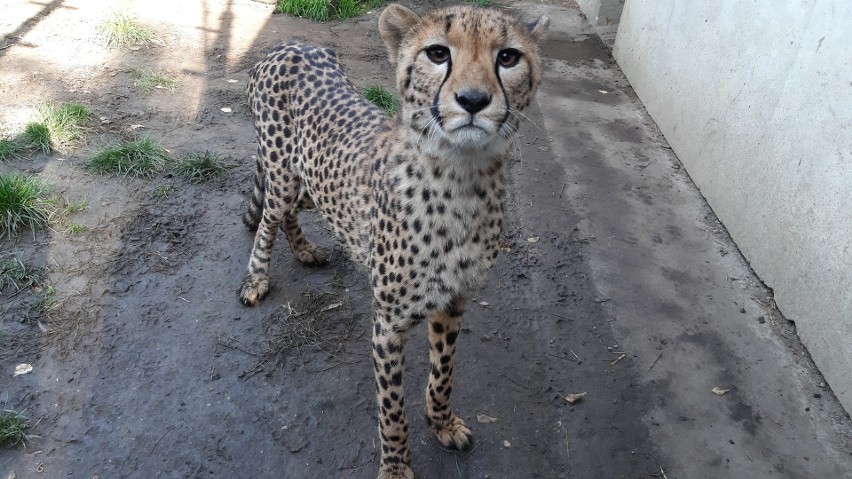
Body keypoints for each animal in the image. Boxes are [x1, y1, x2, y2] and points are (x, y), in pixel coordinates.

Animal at [236, 4, 548, 479]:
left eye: (508, 57)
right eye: (438, 53)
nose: (473, 100)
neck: (461, 178)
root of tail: (291, 45)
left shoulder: (454, 301)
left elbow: (443, 373)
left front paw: (442, 423)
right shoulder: (387, 322)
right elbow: (391, 408)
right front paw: (397, 467)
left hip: (312, 179)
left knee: (291, 210)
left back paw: (305, 250)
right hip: (283, 172)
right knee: (269, 217)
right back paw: (256, 278)